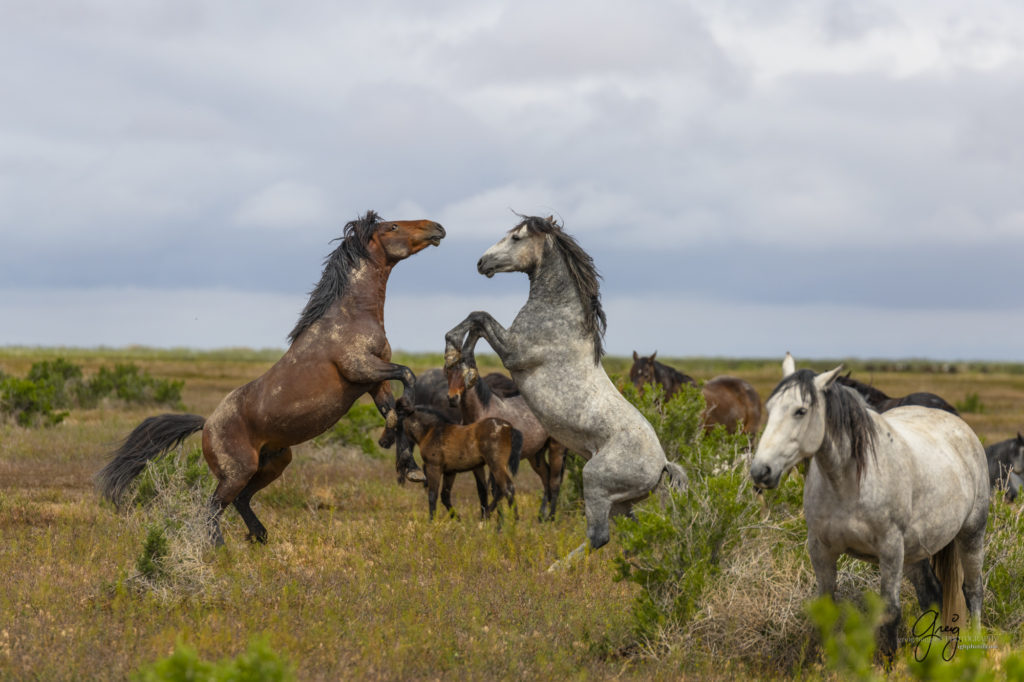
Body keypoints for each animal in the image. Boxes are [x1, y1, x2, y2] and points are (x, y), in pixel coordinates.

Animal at [96, 209, 444, 544]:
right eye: (393, 226)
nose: (436, 227)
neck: (351, 316)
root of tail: (206, 425)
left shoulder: (374, 382)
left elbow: (396, 413)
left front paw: (410, 467)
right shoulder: (361, 367)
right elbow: (407, 379)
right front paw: (399, 444)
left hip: (275, 462)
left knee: (240, 501)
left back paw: (260, 536)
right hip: (237, 472)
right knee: (212, 508)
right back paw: (221, 551)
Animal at [448, 348, 569, 518]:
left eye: (466, 373)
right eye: (448, 372)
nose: (452, 398)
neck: (482, 412)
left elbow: (497, 490)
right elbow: (484, 490)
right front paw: (487, 516)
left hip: (556, 448)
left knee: (555, 482)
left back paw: (551, 518)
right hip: (535, 455)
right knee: (546, 477)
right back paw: (541, 517)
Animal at [753, 364, 983, 655]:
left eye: (800, 411)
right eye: (769, 408)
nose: (760, 471)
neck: (848, 483)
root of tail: (958, 424)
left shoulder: (890, 550)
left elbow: (891, 614)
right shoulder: (820, 550)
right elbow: (826, 610)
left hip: (971, 534)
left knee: (973, 591)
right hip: (915, 553)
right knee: (932, 595)